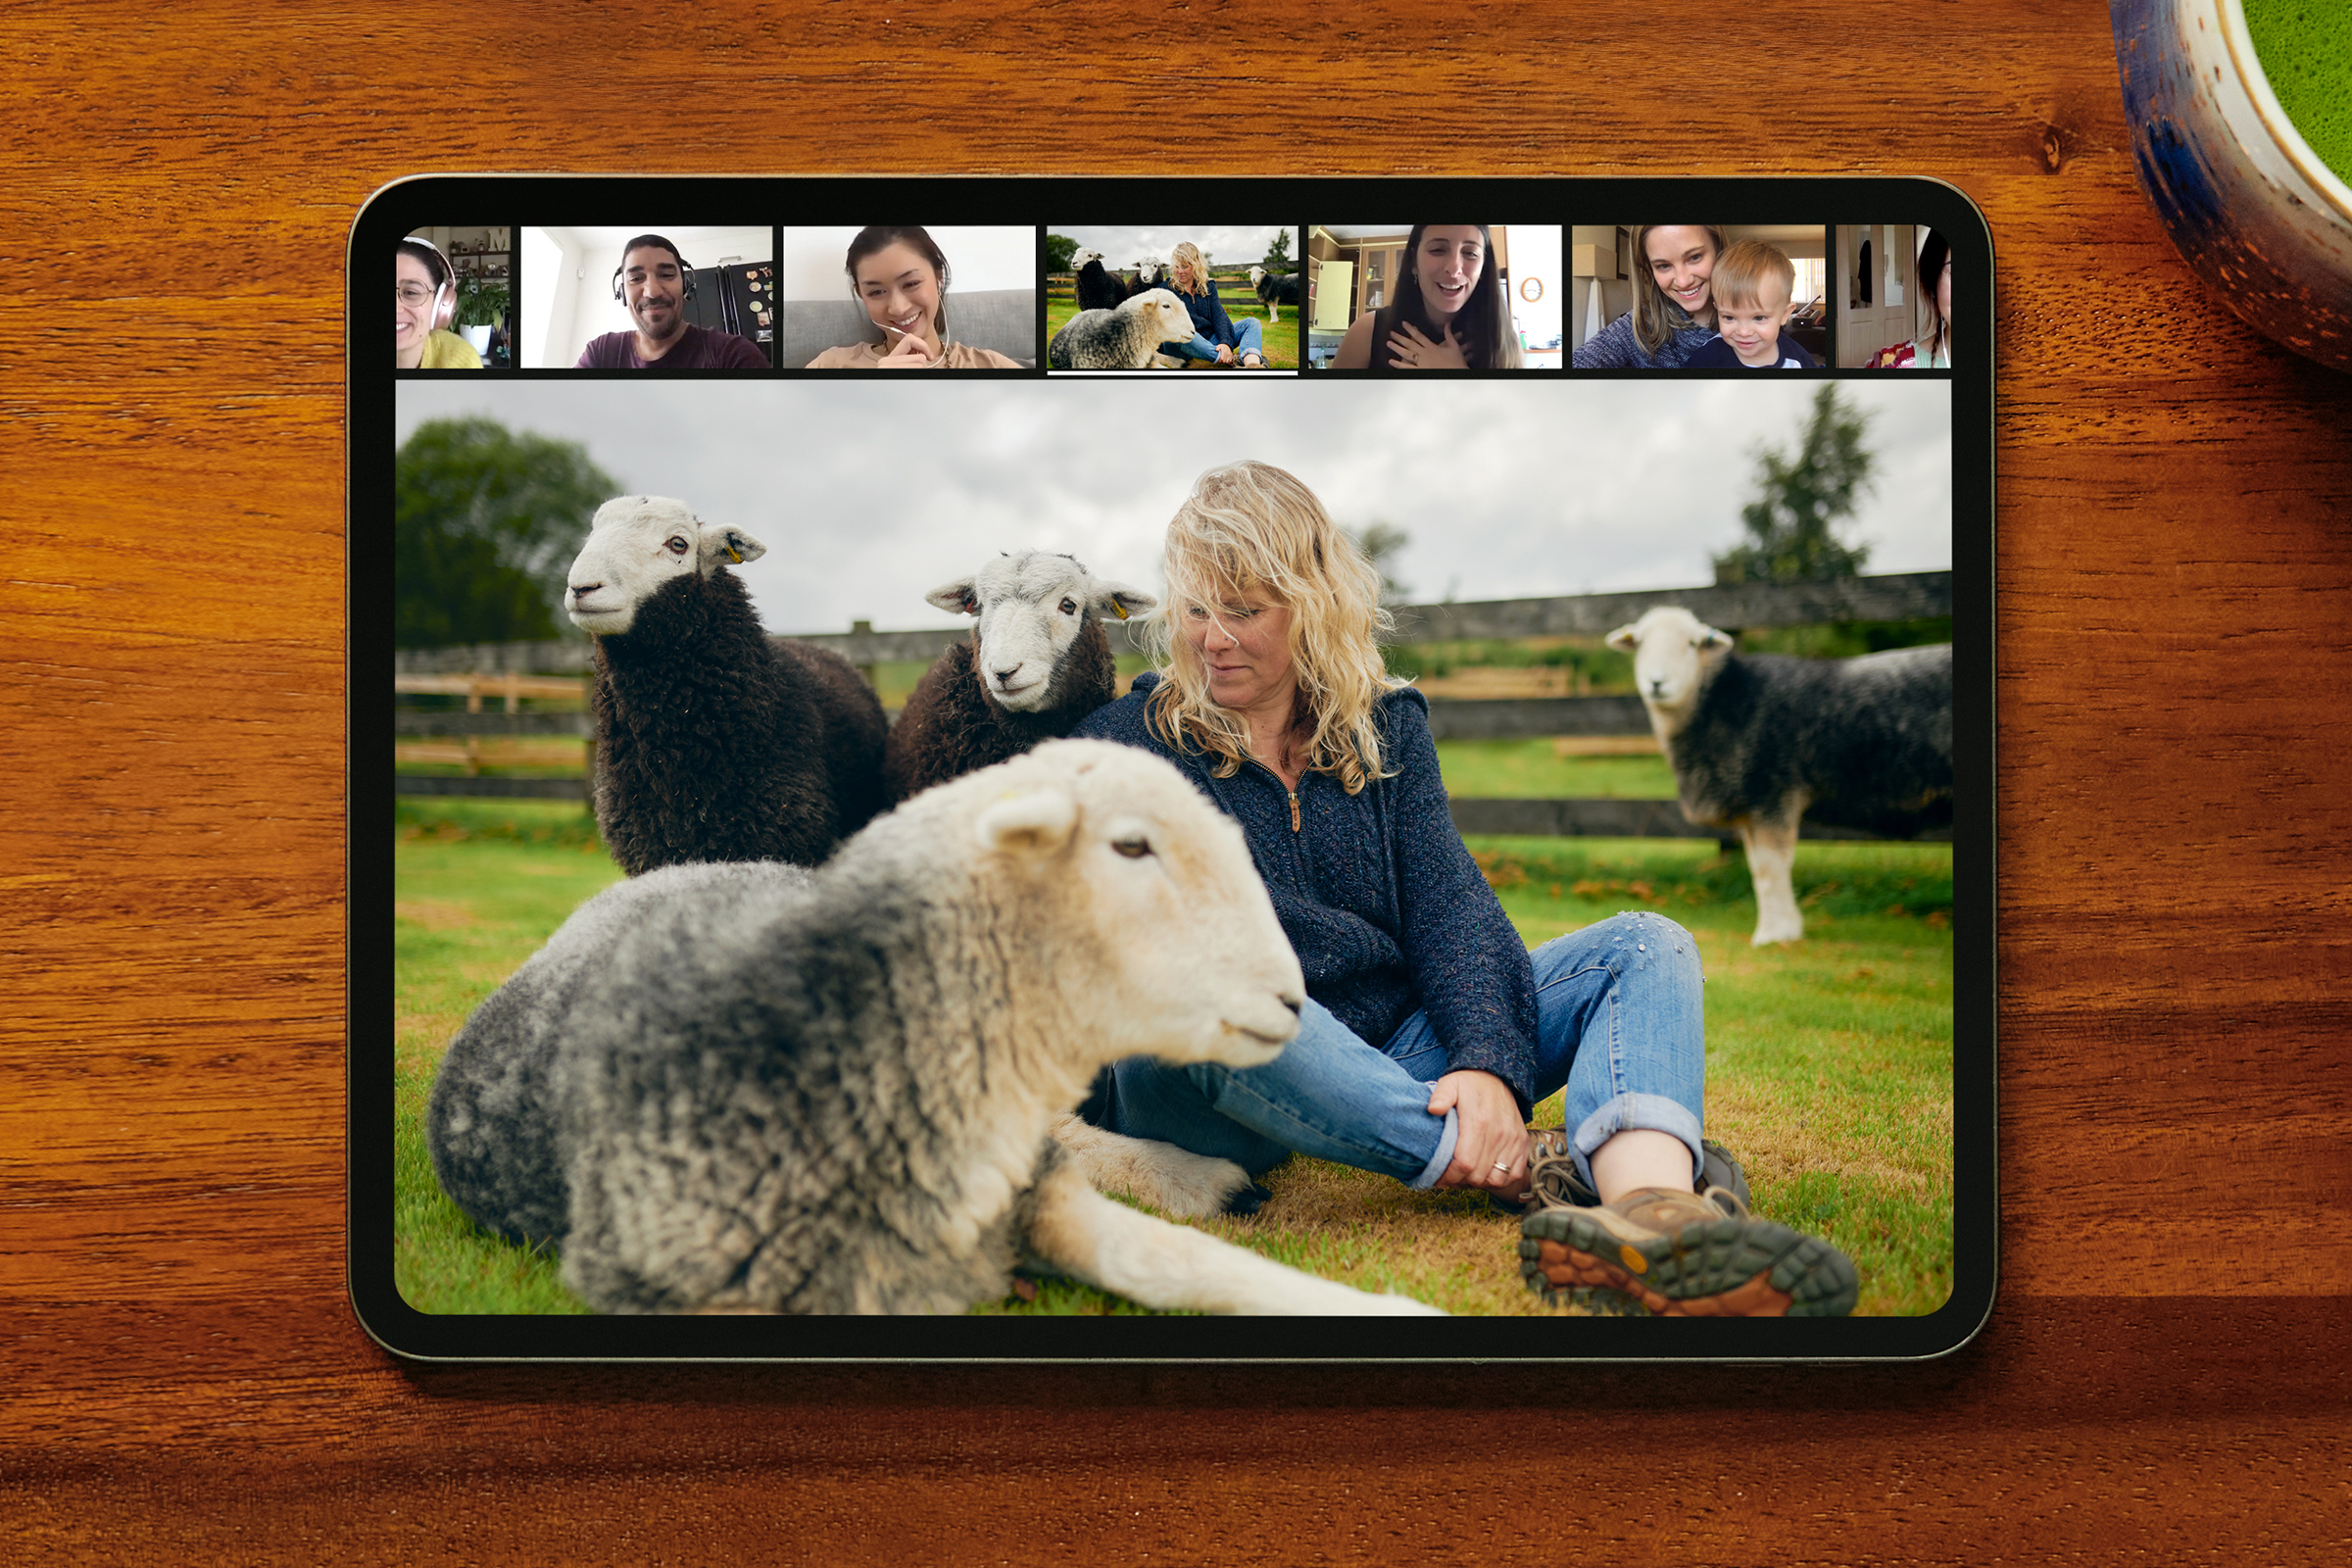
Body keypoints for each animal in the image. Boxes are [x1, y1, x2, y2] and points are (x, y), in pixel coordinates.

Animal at [1608, 606, 1956, 945]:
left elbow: (1770, 867)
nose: (1657, 683)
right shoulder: (1751, 806)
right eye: (1640, 644)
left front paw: (1774, 934)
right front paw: (1783, 927)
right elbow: (1757, 869)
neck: (1723, 703)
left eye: (1692, 644)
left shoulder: (1773, 791)